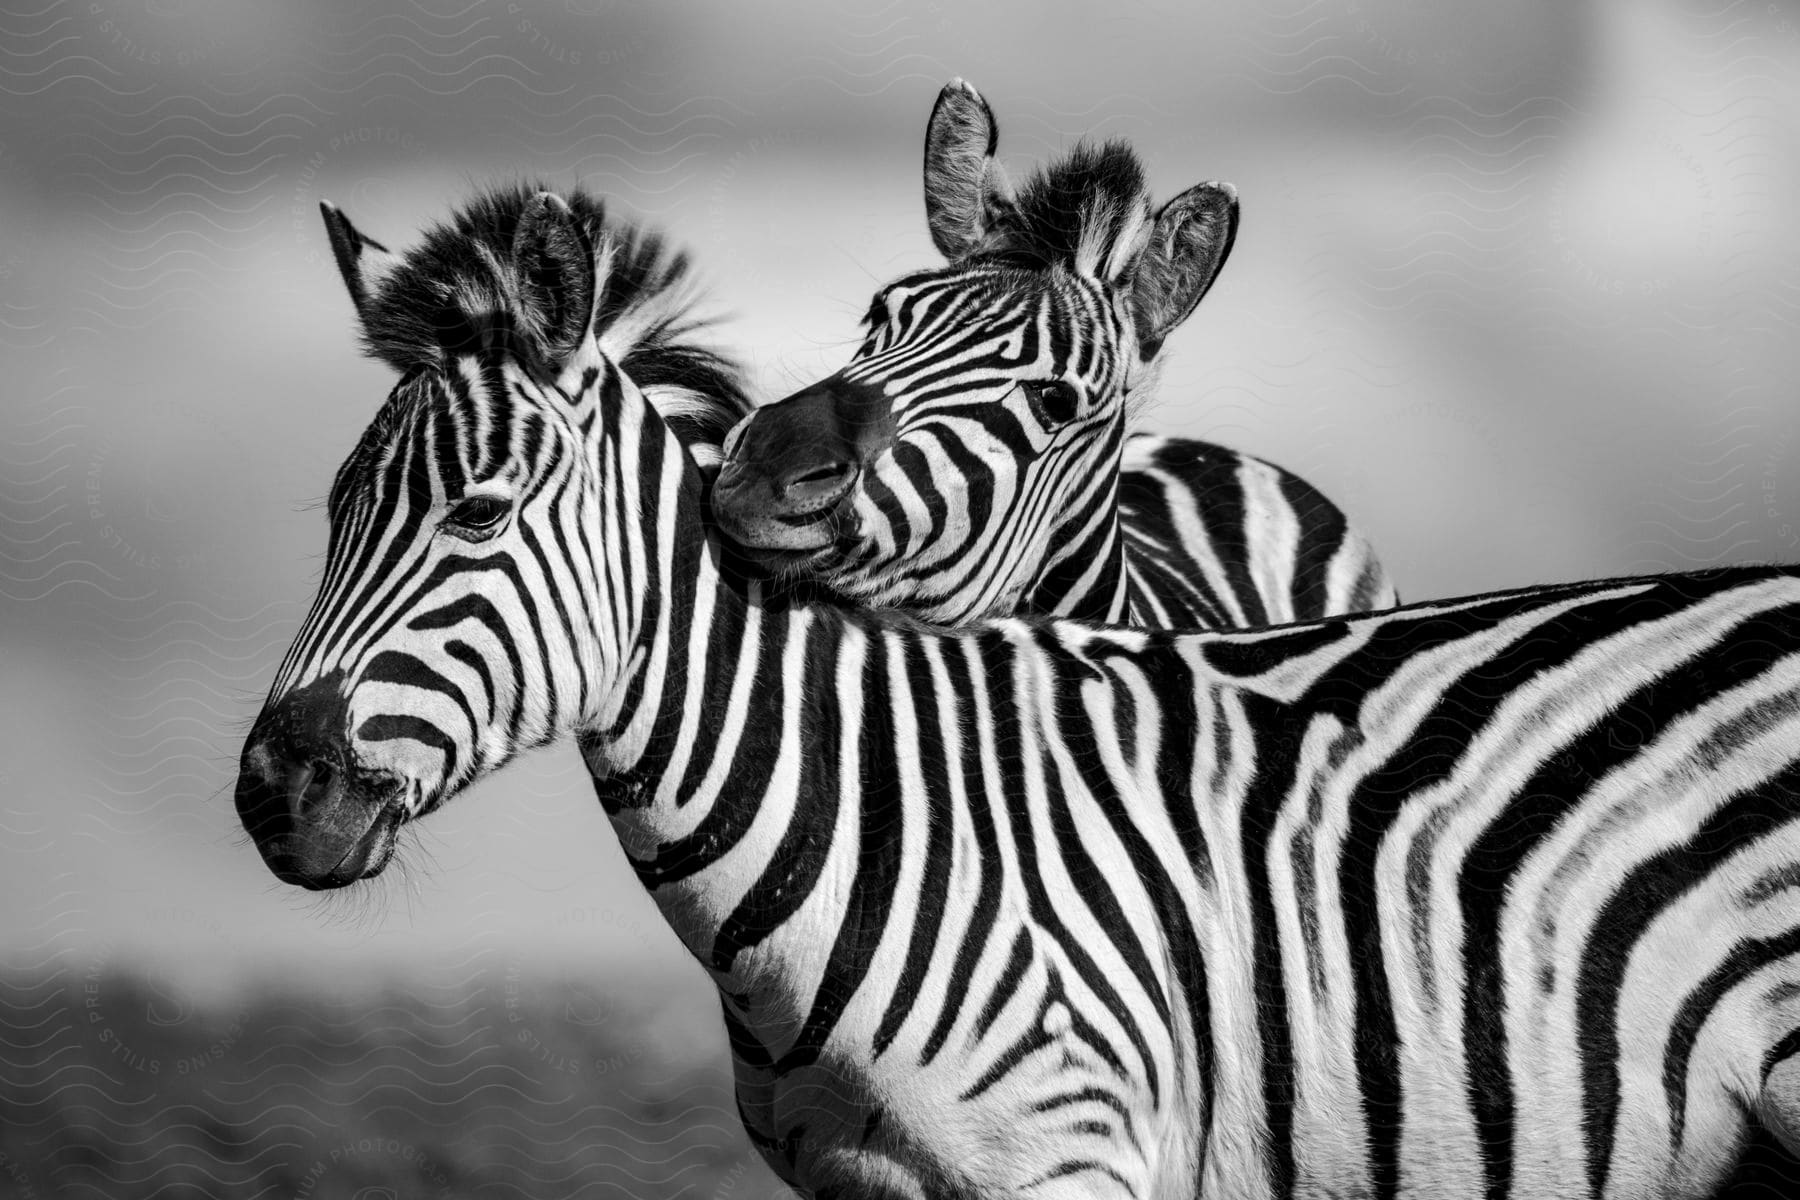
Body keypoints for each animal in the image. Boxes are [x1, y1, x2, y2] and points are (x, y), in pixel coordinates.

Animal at [246, 185, 1800, 1200]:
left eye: (478, 514)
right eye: (330, 516)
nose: (275, 794)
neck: (869, 811)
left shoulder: (1067, 1156)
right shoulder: (862, 1182)